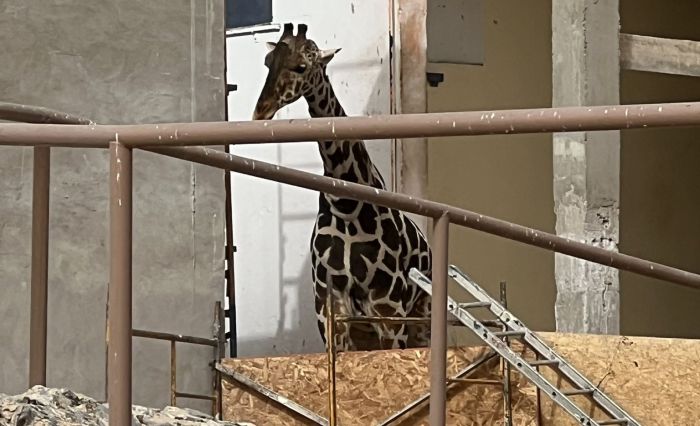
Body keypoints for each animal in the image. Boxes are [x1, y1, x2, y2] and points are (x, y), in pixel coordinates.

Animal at [249, 21, 430, 352]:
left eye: (301, 66)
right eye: (268, 63)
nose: (261, 111)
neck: (348, 206)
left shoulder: (388, 308)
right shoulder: (330, 307)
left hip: (420, 316)